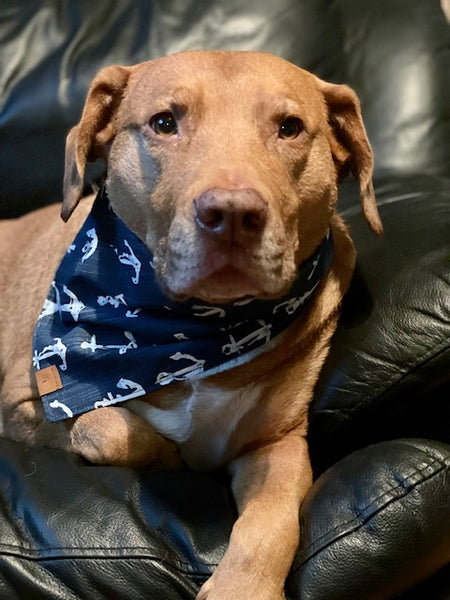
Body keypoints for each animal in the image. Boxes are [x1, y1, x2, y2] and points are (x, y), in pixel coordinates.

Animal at [0, 51, 380, 600]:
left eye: (289, 127)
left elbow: (273, 521)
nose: (232, 214)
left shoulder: (278, 445)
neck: (190, 328)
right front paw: (171, 459)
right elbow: (107, 428)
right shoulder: (27, 403)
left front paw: (241, 589)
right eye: (164, 123)